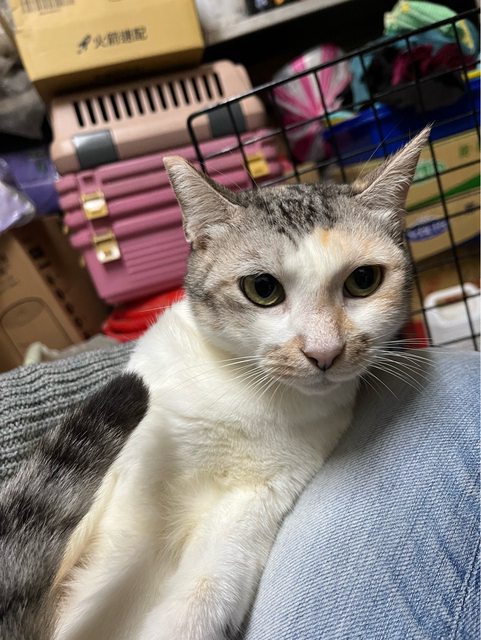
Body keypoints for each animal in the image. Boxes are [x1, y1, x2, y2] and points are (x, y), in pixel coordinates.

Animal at [51, 127, 431, 640]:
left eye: (364, 280)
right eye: (262, 289)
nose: (325, 352)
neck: (245, 393)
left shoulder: (257, 501)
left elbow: (205, 592)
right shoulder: (128, 465)